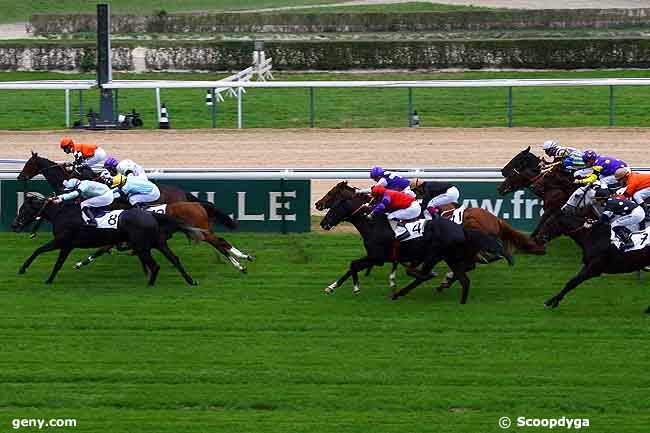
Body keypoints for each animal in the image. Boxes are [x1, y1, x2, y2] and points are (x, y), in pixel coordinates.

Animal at [10, 195, 202, 284]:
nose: (14, 225)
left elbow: (39, 251)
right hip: (157, 243)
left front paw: (23, 269)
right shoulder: (68, 246)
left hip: (141, 246)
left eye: (23, 209)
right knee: (174, 259)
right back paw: (191, 280)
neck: (62, 214)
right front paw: (49, 280)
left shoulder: (61, 242)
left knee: (155, 266)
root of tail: (150, 214)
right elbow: (57, 263)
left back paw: (150, 284)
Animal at [318, 194, 506, 302]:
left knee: (426, 275)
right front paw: (332, 286)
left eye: (334, 207)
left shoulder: (377, 257)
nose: (323, 223)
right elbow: (352, 266)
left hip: (435, 256)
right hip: (449, 257)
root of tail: (462, 229)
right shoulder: (377, 258)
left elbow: (354, 265)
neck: (373, 224)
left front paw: (356, 288)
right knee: (464, 276)